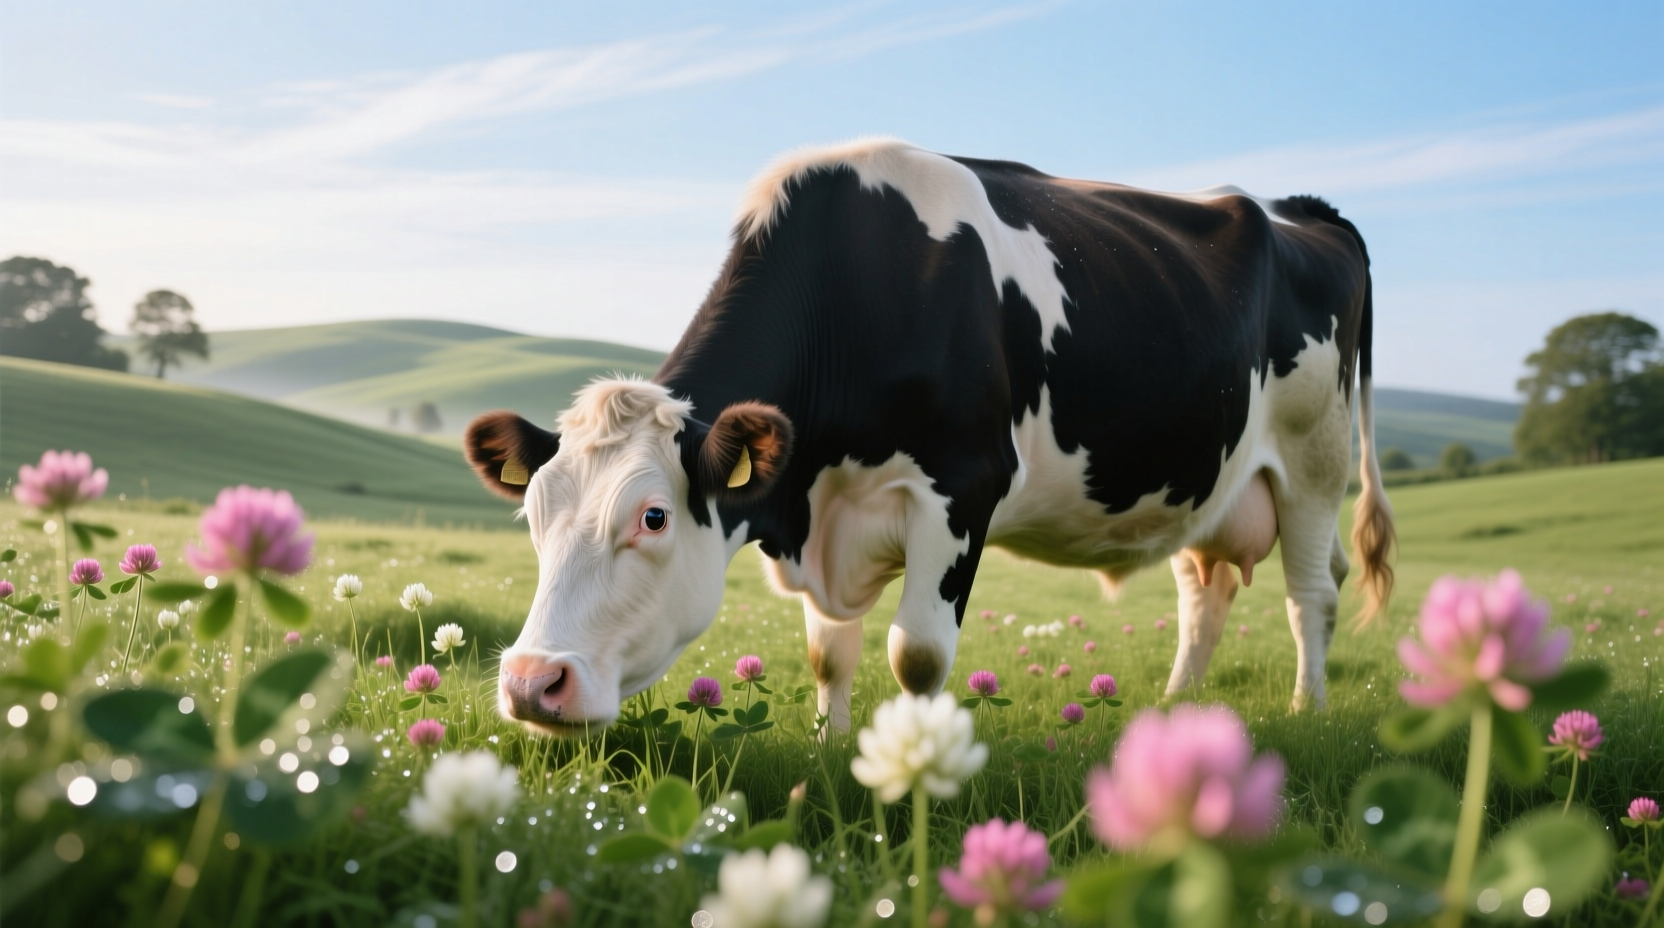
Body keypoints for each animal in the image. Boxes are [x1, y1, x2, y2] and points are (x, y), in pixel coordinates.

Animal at [465, 138, 1396, 735]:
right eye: (534, 514)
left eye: (653, 517)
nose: (531, 684)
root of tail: (1298, 210)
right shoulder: (820, 511)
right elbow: (828, 656)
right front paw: (835, 751)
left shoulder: (961, 485)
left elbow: (915, 653)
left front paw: (914, 776)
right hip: (1206, 477)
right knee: (1205, 593)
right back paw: (1176, 713)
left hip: (1314, 462)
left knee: (1311, 593)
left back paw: (1306, 714)